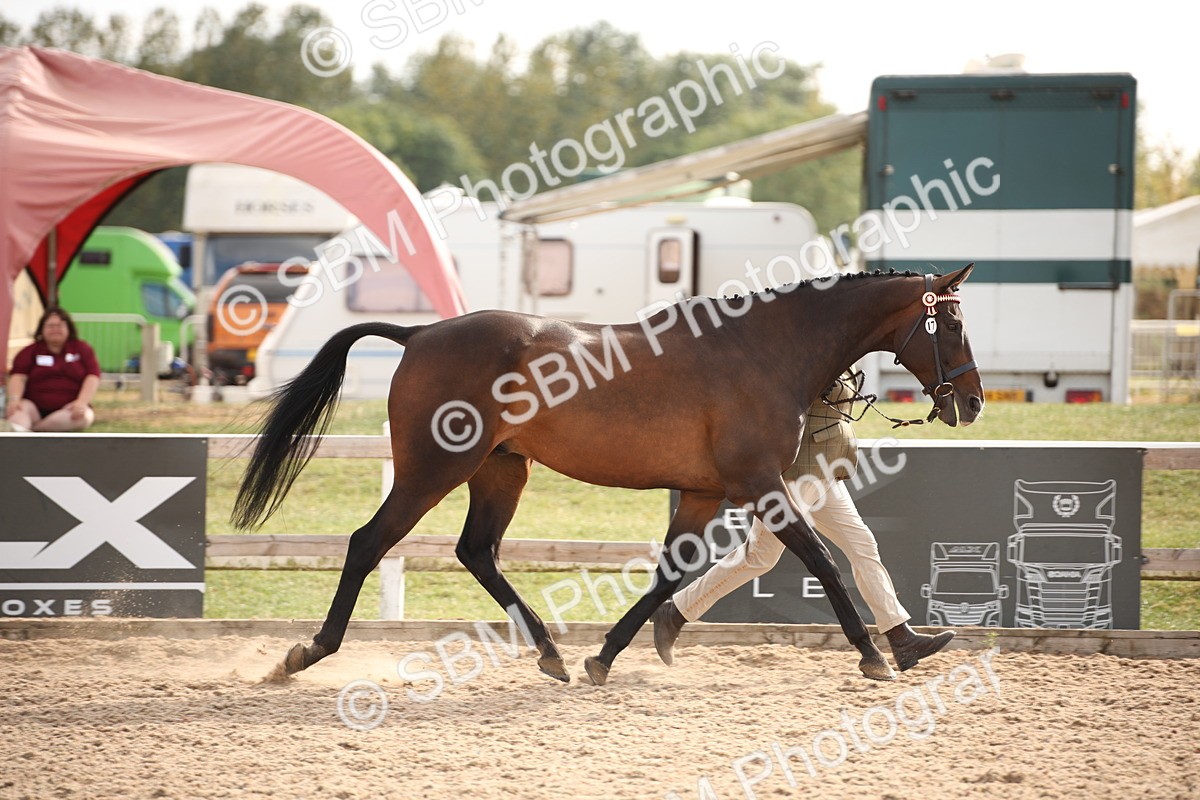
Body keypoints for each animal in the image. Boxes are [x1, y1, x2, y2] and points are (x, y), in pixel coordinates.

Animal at [232, 263, 983, 685]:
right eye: (951, 327)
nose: (973, 402)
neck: (764, 350)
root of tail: (420, 334)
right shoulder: (762, 487)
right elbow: (826, 562)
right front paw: (876, 654)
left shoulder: (706, 494)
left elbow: (670, 578)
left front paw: (607, 656)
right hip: (433, 469)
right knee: (369, 543)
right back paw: (307, 653)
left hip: (501, 470)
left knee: (477, 552)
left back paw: (553, 655)